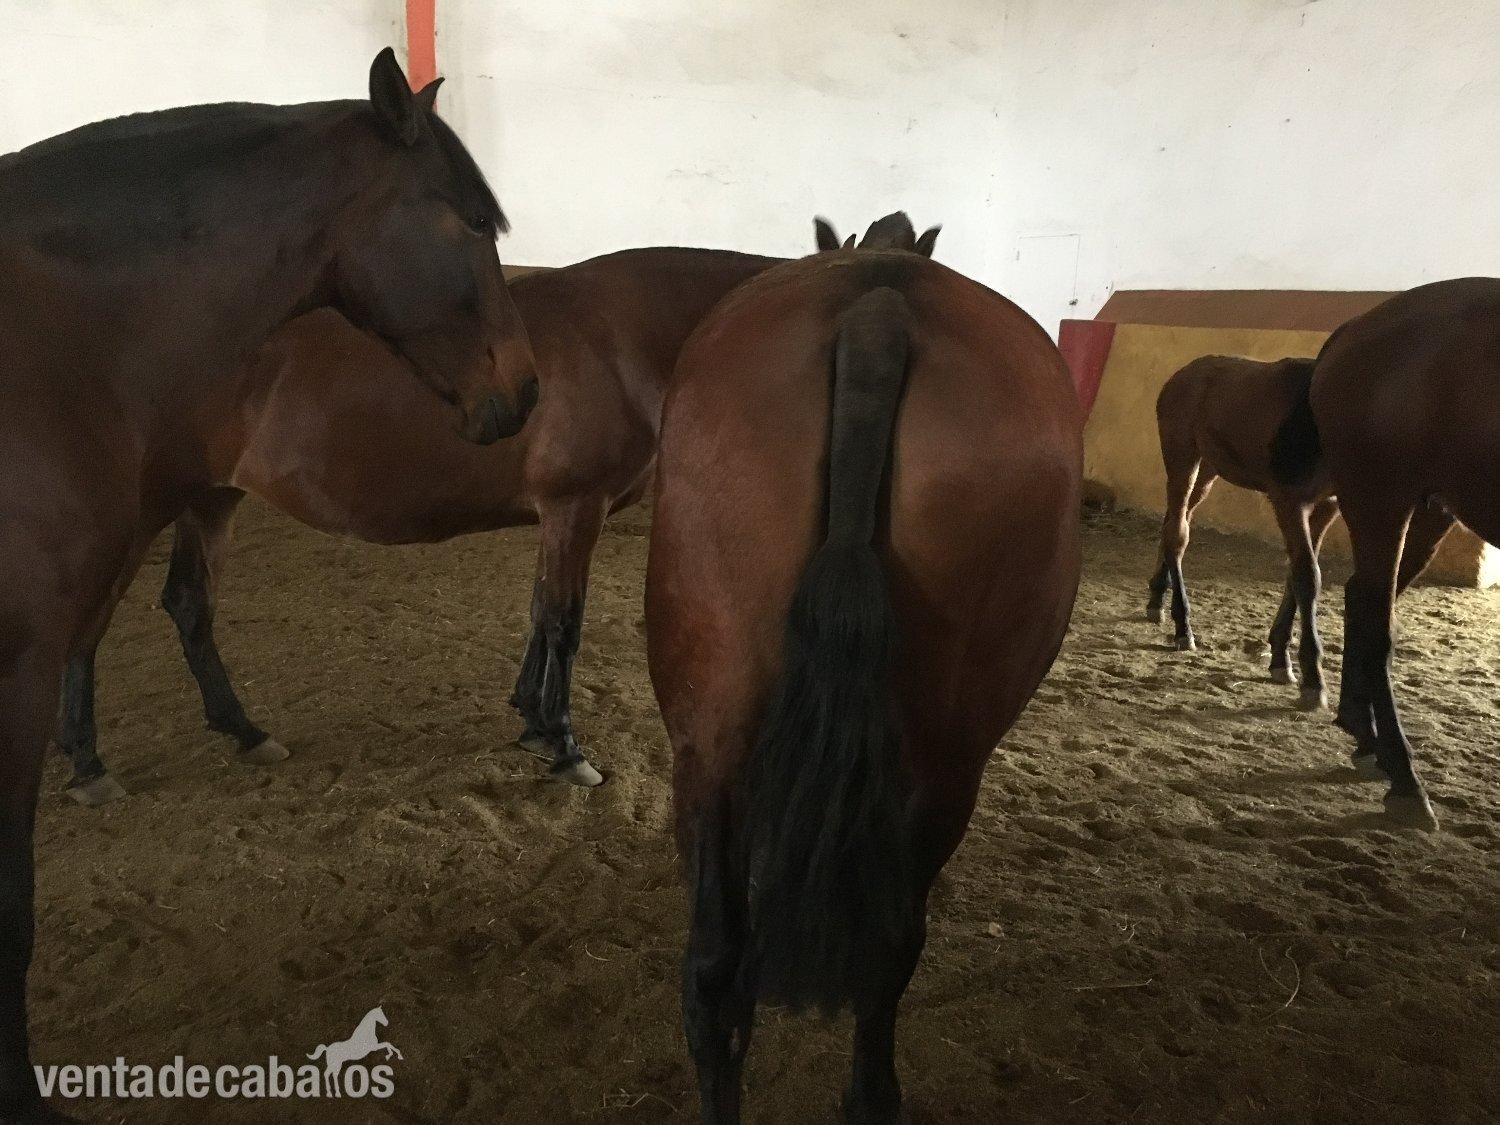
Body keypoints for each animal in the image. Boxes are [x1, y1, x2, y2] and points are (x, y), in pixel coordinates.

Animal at [52, 245, 783, 802]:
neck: (620, 334)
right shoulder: (576, 507)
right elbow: (562, 624)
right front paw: (567, 747)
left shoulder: (556, 516)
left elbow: (536, 611)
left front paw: (532, 721)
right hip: (148, 513)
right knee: (88, 622)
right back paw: (88, 765)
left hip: (211, 500)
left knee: (188, 605)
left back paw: (245, 731)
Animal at [645, 212, 1082, 1124]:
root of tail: (879, 305)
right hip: (947, 771)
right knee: (887, 953)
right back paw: (870, 1095)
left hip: (709, 737)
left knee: (714, 971)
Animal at [1146, 354, 1340, 707]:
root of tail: (1181, 375)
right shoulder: (1288, 500)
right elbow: (1307, 576)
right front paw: (1313, 681)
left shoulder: (1326, 507)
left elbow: (1297, 575)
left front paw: (1280, 659)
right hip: (1182, 457)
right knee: (1177, 534)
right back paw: (1183, 627)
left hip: (1208, 468)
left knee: (1174, 521)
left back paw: (1156, 600)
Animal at [1269, 278, 1500, 832]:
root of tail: (1359, 324)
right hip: (1381, 499)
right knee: (1376, 617)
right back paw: (1404, 775)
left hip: (1431, 507)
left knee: (1365, 598)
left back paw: (1363, 731)